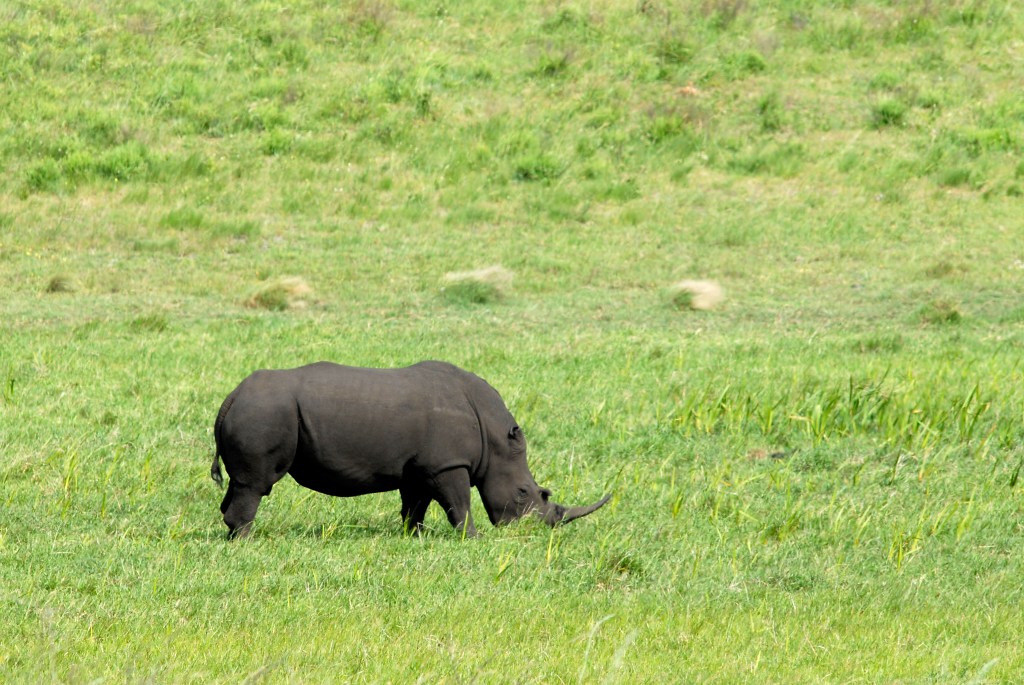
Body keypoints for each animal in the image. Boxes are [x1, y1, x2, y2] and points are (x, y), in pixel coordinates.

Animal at [211, 361, 610, 538]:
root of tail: (231, 397)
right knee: (256, 483)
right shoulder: (449, 464)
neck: (495, 437)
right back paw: (247, 538)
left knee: (238, 482)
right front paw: (473, 538)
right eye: (526, 492)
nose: (540, 528)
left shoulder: (423, 466)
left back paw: (233, 536)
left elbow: (415, 504)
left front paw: (413, 537)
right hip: (264, 412)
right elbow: (459, 503)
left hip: (257, 411)